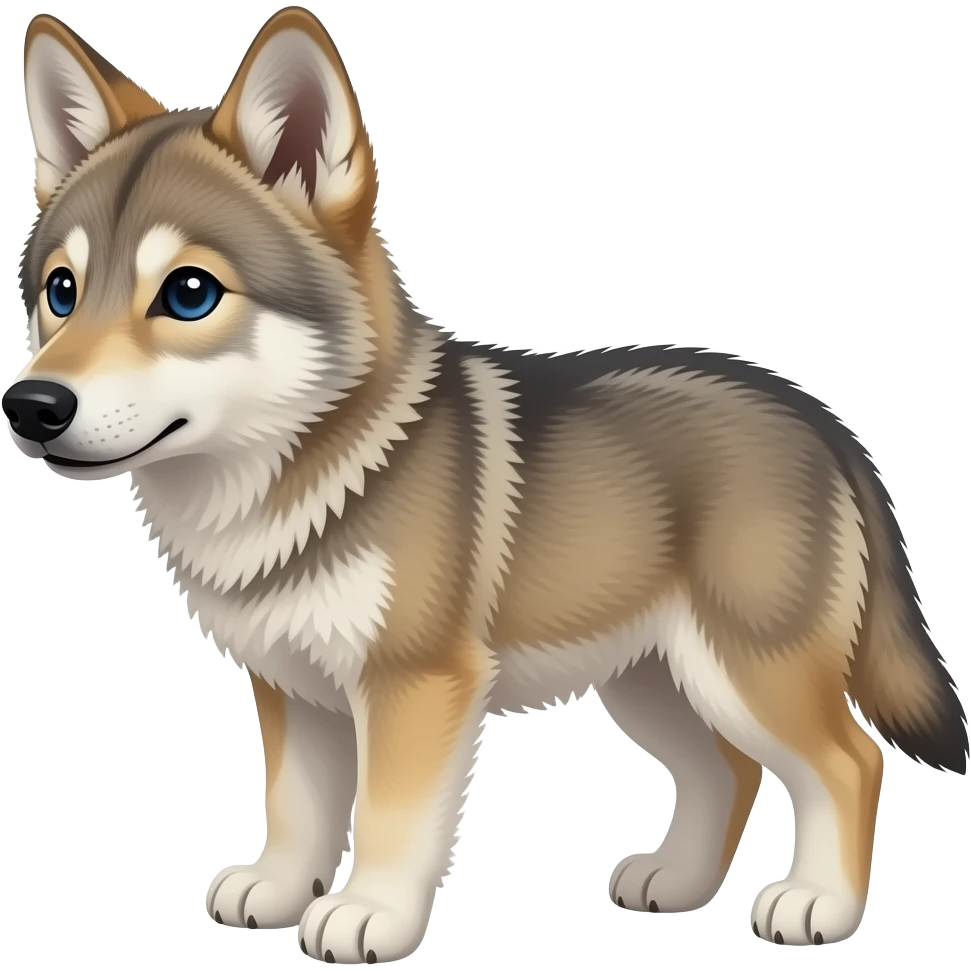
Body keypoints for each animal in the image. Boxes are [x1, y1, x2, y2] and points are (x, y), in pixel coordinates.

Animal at [7, 5, 967, 962]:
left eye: (189, 294)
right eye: (62, 291)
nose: (33, 405)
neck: (298, 477)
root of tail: (819, 418)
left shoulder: (415, 685)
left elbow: (388, 817)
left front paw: (368, 913)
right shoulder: (292, 687)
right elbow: (297, 807)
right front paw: (279, 887)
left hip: (746, 669)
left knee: (848, 761)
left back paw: (817, 903)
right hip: (652, 679)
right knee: (727, 769)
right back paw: (678, 881)